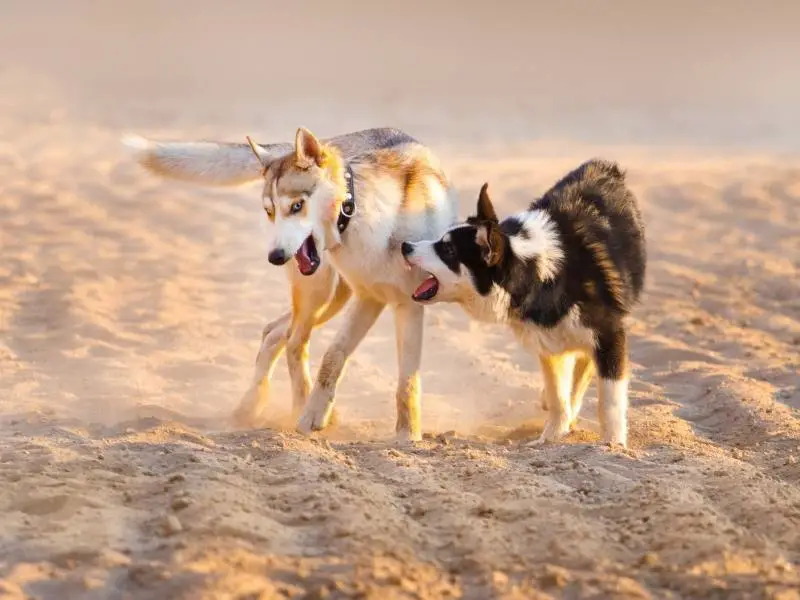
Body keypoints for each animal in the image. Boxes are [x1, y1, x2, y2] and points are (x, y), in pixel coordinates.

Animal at [127, 127, 460, 440]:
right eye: (269, 211)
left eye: (297, 206)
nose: (275, 256)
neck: (369, 219)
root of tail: (337, 139)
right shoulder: (368, 298)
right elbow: (332, 357)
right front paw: (314, 414)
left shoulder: (400, 303)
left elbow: (407, 381)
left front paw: (407, 436)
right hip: (322, 294)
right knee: (293, 340)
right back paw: (294, 408)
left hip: (334, 298)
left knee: (274, 332)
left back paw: (253, 405)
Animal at [404, 159, 648, 446]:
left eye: (448, 251)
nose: (405, 246)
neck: (539, 275)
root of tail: (604, 166)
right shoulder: (547, 342)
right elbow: (557, 396)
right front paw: (551, 437)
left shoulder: (609, 334)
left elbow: (609, 400)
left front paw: (613, 443)